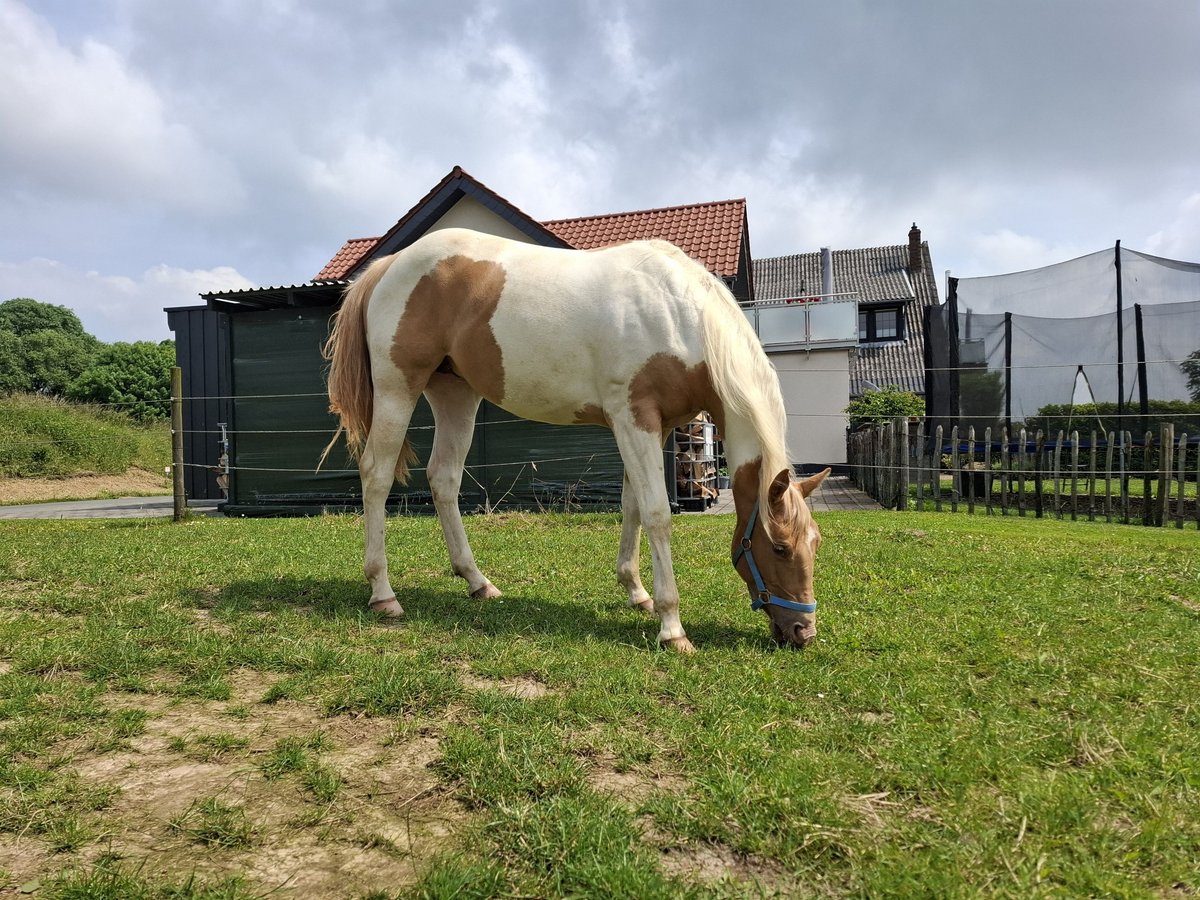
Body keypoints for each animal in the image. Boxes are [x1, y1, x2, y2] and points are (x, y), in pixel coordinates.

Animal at [319, 229, 830, 652]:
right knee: (377, 476)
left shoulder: (652, 427)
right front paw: (672, 627)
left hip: (455, 395)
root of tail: (390, 264)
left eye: (816, 542)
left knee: (443, 479)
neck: (677, 313)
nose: (803, 633)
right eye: (779, 548)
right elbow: (658, 514)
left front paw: (636, 592)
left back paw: (477, 582)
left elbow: (631, 507)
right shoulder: (635, 419)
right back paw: (384, 594)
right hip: (397, 389)